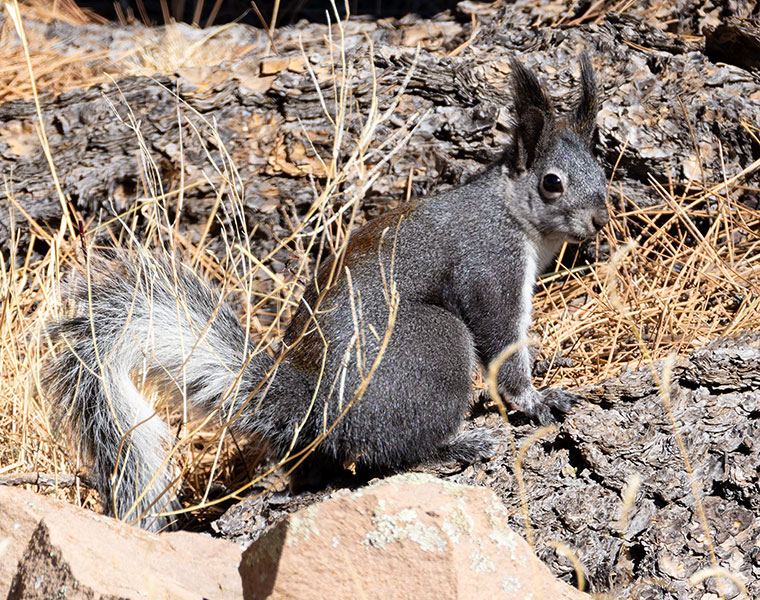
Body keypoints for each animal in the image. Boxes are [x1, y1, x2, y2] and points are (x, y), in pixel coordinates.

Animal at [43, 54, 608, 531]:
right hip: (431, 347)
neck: (511, 211)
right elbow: (501, 343)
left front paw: (549, 360)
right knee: (390, 450)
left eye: (602, 169)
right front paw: (536, 399)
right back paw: (456, 447)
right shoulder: (489, 264)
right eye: (552, 183)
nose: (601, 220)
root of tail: (312, 404)